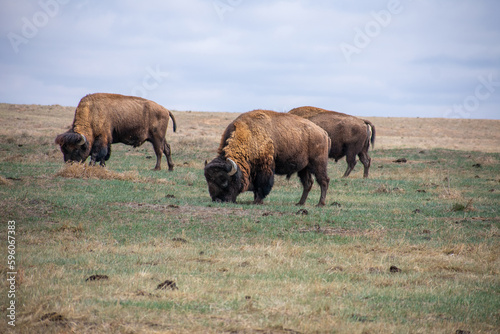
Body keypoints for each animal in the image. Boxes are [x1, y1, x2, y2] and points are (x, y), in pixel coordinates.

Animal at [203, 109, 332, 206]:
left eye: (224, 181)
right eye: (208, 181)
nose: (217, 200)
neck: (248, 136)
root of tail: (324, 133)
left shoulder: (264, 168)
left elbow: (262, 184)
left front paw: (257, 201)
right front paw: (255, 199)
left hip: (318, 164)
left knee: (323, 181)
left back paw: (320, 204)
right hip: (303, 168)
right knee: (308, 183)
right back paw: (300, 203)